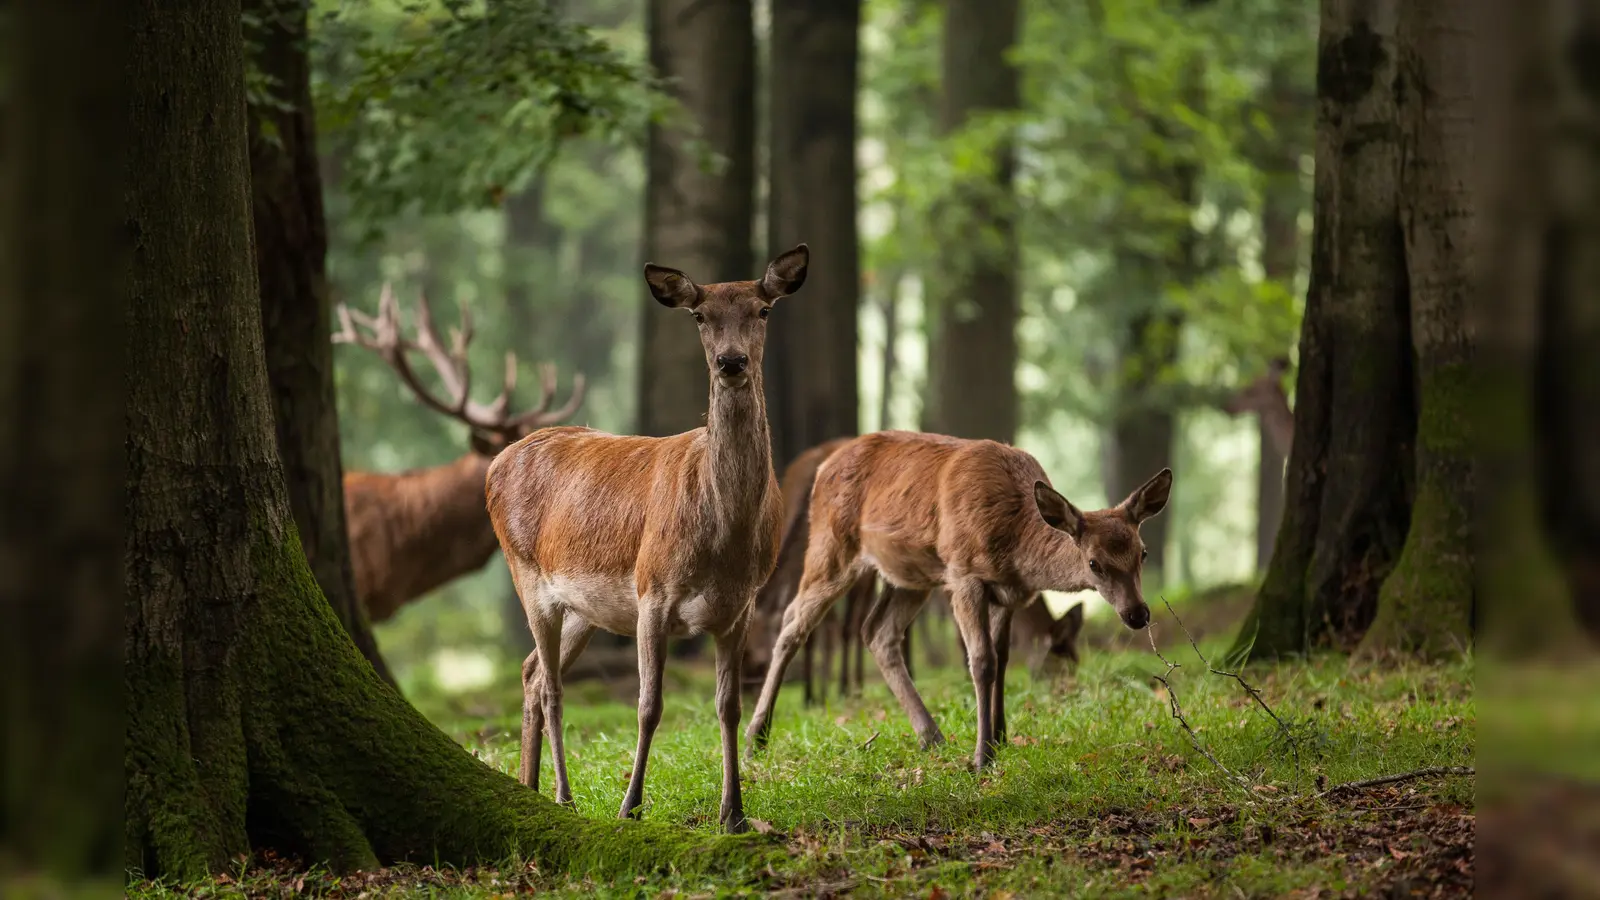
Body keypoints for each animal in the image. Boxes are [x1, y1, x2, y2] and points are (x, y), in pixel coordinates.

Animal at [483, 241, 812, 832]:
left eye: (762, 310)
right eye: (700, 315)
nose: (731, 362)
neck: (722, 540)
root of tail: (495, 464)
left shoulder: (741, 605)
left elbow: (728, 706)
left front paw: (734, 814)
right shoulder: (651, 591)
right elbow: (648, 705)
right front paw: (630, 807)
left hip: (584, 608)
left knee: (530, 673)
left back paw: (529, 785)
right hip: (529, 574)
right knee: (552, 687)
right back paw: (563, 796)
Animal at [742, 432, 1171, 768]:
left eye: (1143, 553)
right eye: (1094, 563)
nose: (1137, 613)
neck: (1013, 545)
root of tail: (822, 469)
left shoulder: (1007, 592)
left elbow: (1004, 657)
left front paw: (1000, 735)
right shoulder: (964, 575)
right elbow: (981, 661)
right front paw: (983, 756)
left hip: (910, 576)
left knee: (877, 632)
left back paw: (930, 735)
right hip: (831, 545)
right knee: (793, 621)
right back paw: (755, 738)